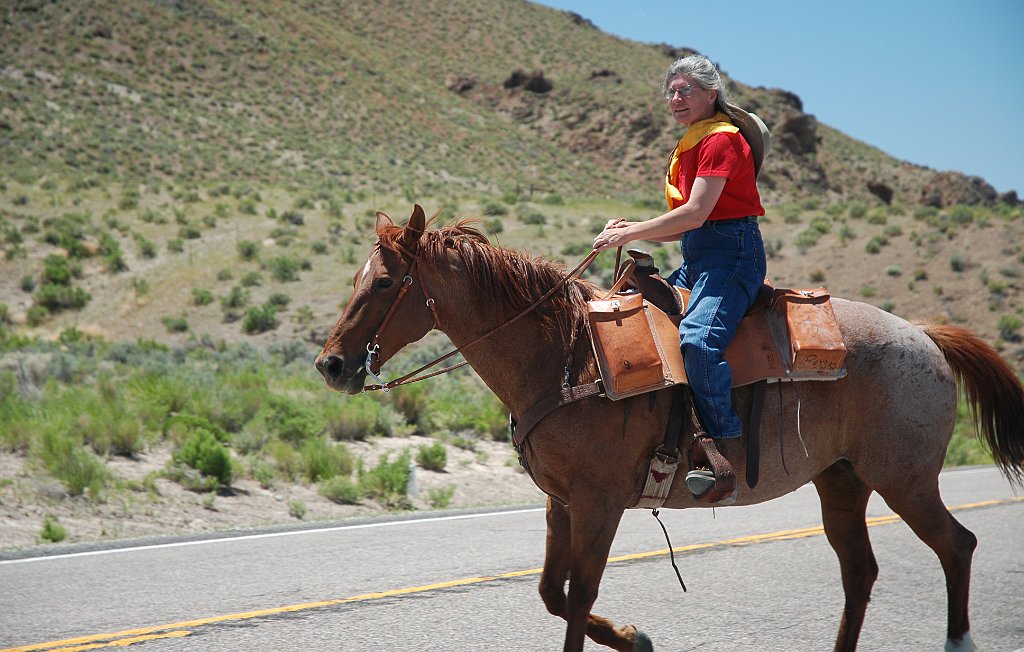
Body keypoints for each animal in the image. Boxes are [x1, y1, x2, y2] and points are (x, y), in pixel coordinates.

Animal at [313, 204, 1024, 650]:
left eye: (385, 282)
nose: (331, 364)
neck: (564, 355)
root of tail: (925, 335)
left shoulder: (600, 502)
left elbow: (577, 596)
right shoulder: (561, 503)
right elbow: (552, 593)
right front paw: (634, 638)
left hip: (905, 481)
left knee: (956, 547)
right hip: (842, 483)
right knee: (861, 573)